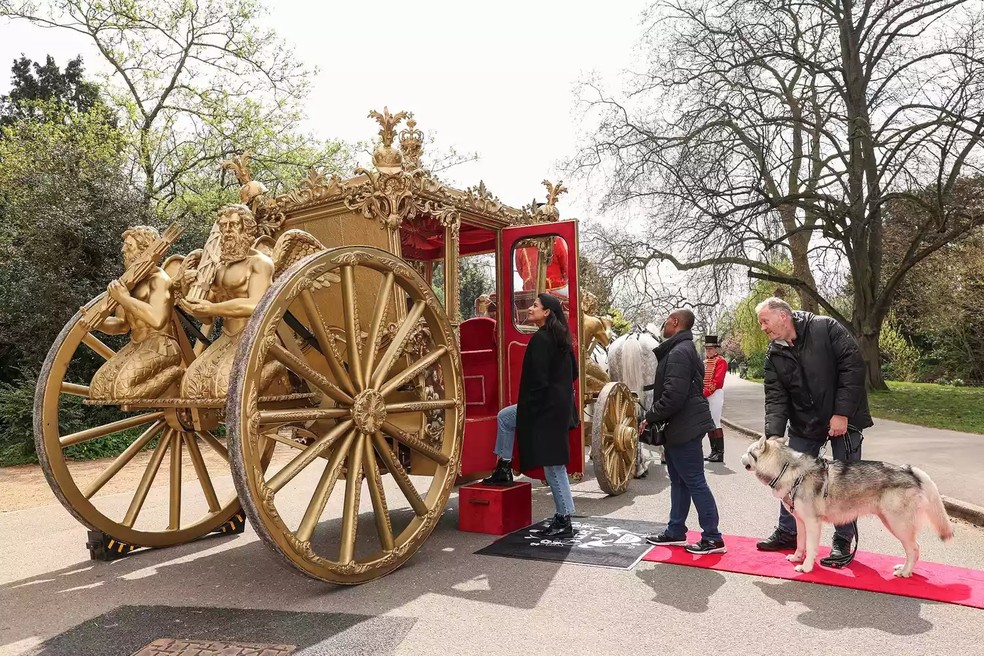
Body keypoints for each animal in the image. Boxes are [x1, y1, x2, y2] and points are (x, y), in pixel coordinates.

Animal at [740, 438, 948, 576]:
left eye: (748, 452)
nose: (741, 458)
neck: (788, 470)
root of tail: (909, 470)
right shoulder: (801, 522)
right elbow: (800, 544)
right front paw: (797, 558)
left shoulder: (813, 523)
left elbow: (811, 548)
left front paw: (806, 567)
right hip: (892, 523)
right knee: (912, 550)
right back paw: (903, 567)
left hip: (898, 525)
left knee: (915, 549)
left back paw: (905, 572)